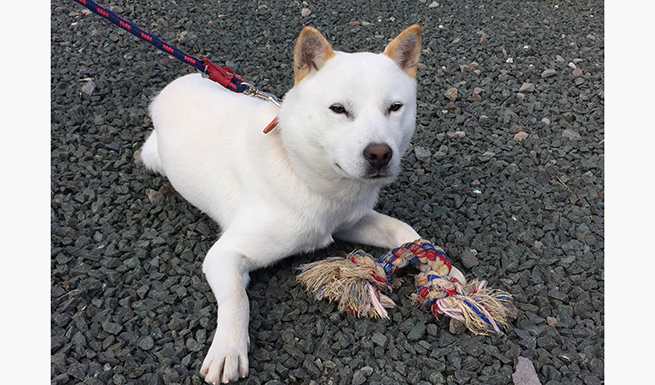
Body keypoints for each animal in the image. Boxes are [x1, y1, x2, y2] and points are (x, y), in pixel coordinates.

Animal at [140, 25, 466, 382]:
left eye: (395, 107)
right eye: (338, 109)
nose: (379, 154)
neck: (303, 172)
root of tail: (175, 83)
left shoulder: (350, 221)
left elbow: (403, 230)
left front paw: (440, 267)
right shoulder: (224, 255)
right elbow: (238, 299)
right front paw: (228, 347)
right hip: (152, 156)